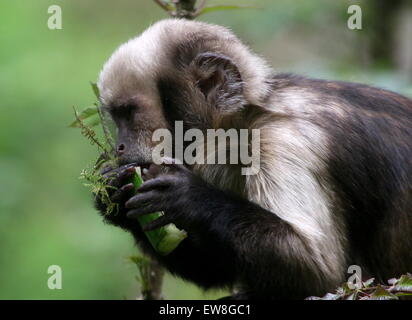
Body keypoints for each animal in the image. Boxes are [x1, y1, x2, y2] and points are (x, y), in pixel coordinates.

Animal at [95, 18, 412, 298]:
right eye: (116, 117)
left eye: (128, 113)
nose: (119, 147)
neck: (245, 121)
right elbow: (216, 268)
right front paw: (113, 194)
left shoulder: (287, 142)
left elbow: (320, 276)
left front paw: (186, 197)